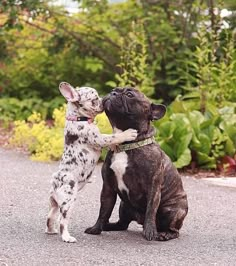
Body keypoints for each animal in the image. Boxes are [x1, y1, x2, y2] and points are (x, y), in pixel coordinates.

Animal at [45, 82, 137, 242]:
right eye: (94, 99)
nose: (103, 99)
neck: (78, 118)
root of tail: (55, 183)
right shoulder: (98, 138)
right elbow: (112, 137)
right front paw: (127, 133)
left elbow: (112, 141)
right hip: (69, 200)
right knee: (62, 220)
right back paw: (67, 237)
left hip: (55, 203)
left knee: (51, 215)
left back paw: (51, 231)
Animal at [85, 87, 188, 241]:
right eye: (114, 90)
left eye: (129, 95)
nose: (113, 93)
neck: (126, 145)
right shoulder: (108, 187)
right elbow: (104, 210)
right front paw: (96, 228)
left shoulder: (153, 186)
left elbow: (151, 209)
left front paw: (150, 232)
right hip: (123, 206)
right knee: (122, 224)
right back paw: (108, 226)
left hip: (172, 211)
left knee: (173, 229)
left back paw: (163, 234)